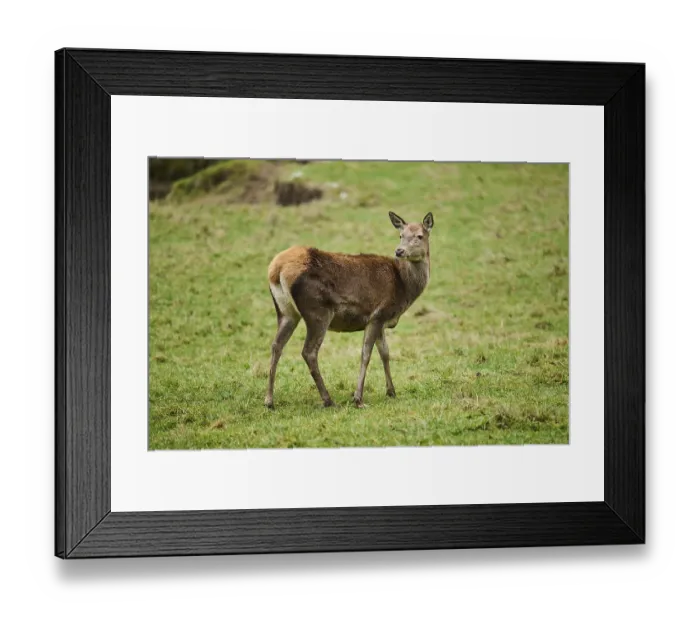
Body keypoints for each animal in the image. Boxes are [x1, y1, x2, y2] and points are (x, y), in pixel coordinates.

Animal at [265, 211, 434, 409]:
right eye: (401, 235)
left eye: (419, 236)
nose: (399, 251)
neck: (403, 286)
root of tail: (276, 269)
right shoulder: (378, 314)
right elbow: (366, 354)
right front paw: (358, 398)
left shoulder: (381, 321)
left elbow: (385, 353)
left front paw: (391, 391)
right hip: (318, 311)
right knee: (308, 352)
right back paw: (328, 400)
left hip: (286, 311)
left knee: (276, 345)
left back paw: (269, 400)